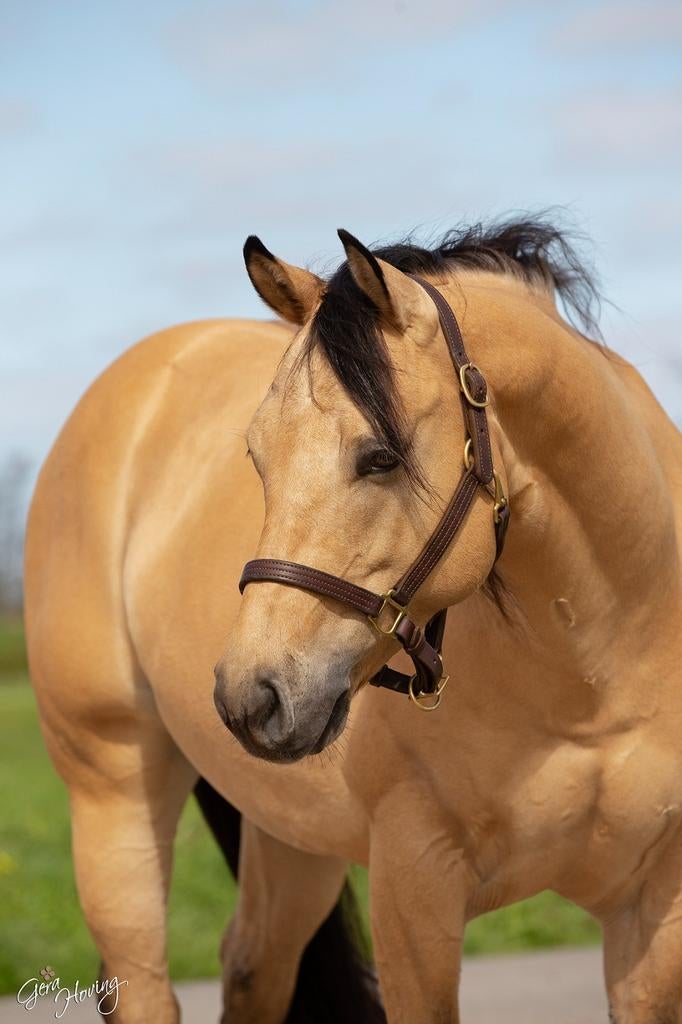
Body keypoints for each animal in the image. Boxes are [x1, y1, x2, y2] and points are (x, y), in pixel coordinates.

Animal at [25, 217, 682, 1024]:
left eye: (381, 456)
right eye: (256, 457)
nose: (251, 697)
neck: (595, 674)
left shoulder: (651, 911)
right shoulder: (414, 891)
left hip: (291, 838)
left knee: (253, 968)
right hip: (111, 794)